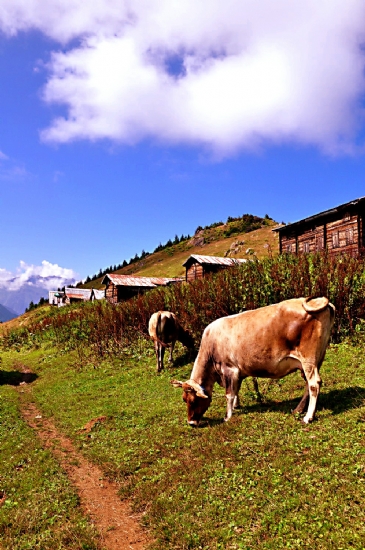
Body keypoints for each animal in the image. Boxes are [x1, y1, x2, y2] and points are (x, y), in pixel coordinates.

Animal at [172, 300, 334, 430]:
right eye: (184, 399)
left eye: (193, 400)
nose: (191, 423)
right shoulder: (238, 372)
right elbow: (236, 390)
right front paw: (237, 406)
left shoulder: (228, 369)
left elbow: (229, 394)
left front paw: (228, 416)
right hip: (314, 361)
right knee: (309, 385)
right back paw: (298, 410)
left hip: (308, 360)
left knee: (314, 384)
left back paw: (308, 417)